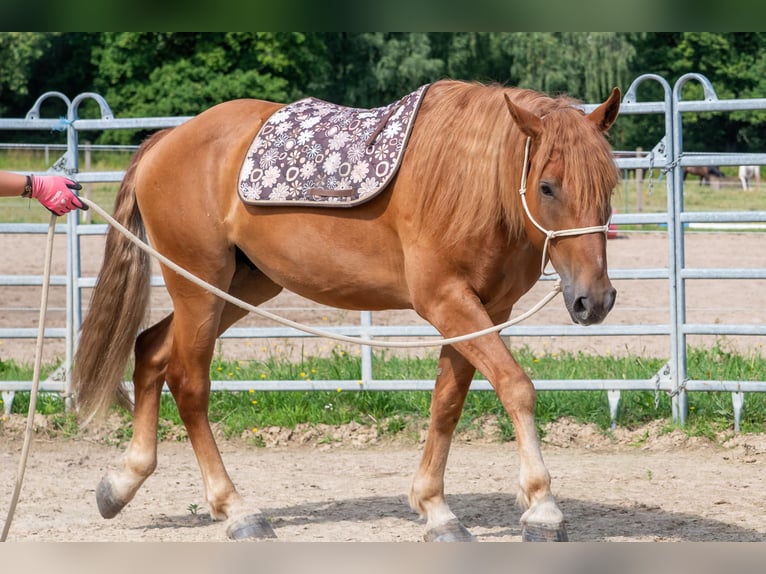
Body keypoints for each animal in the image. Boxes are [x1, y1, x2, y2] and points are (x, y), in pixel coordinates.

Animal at [72, 80, 621, 542]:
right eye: (547, 186)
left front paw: (435, 509)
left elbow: (447, 402)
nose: (595, 300)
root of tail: (167, 141)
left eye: (609, 186)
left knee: (151, 350)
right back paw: (236, 510)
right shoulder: (448, 301)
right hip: (197, 287)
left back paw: (123, 482)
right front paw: (543, 507)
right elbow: (516, 387)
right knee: (189, 383)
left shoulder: (484, 308)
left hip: (241, 286)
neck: (467, 183)